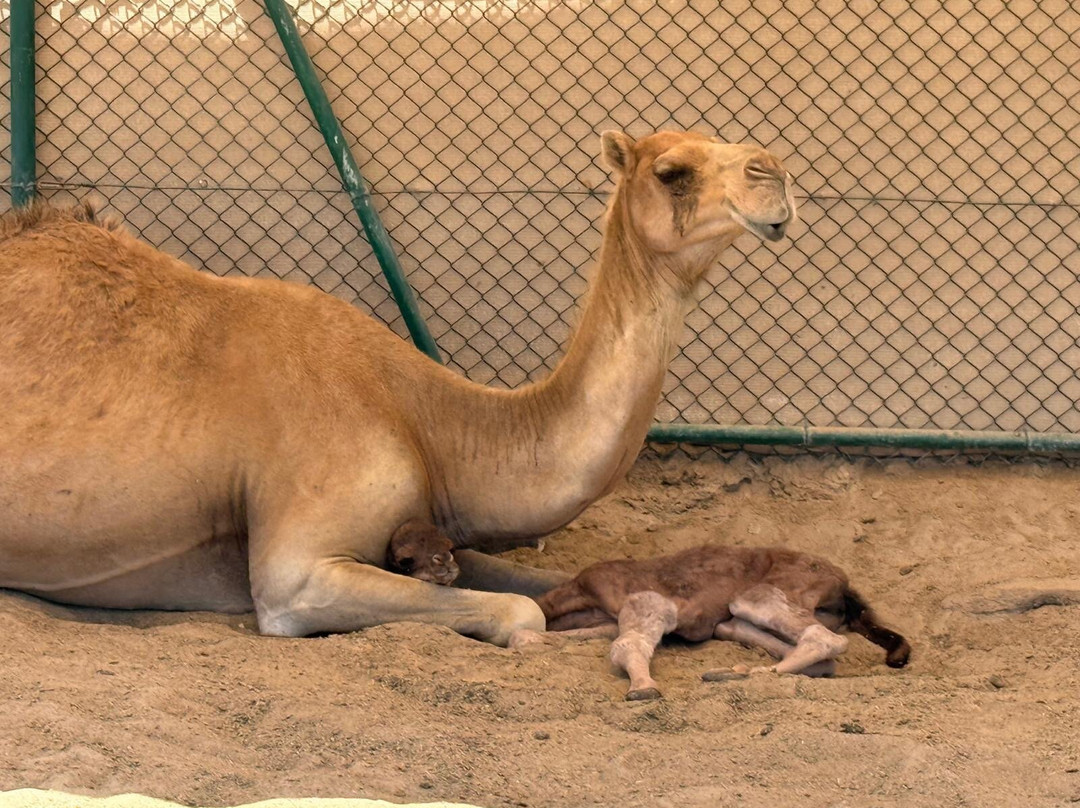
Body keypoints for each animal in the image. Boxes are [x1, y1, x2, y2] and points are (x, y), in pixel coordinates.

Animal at [517, 545, 910, 700]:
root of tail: (844, 586)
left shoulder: (650, 603)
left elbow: (626, 645)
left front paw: (643, 689)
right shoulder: (607, 618)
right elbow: (540, 637)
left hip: (756, 596)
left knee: (828, 640)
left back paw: (749, 673)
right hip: (736, 618)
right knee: (821, 656)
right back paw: (738, 672)